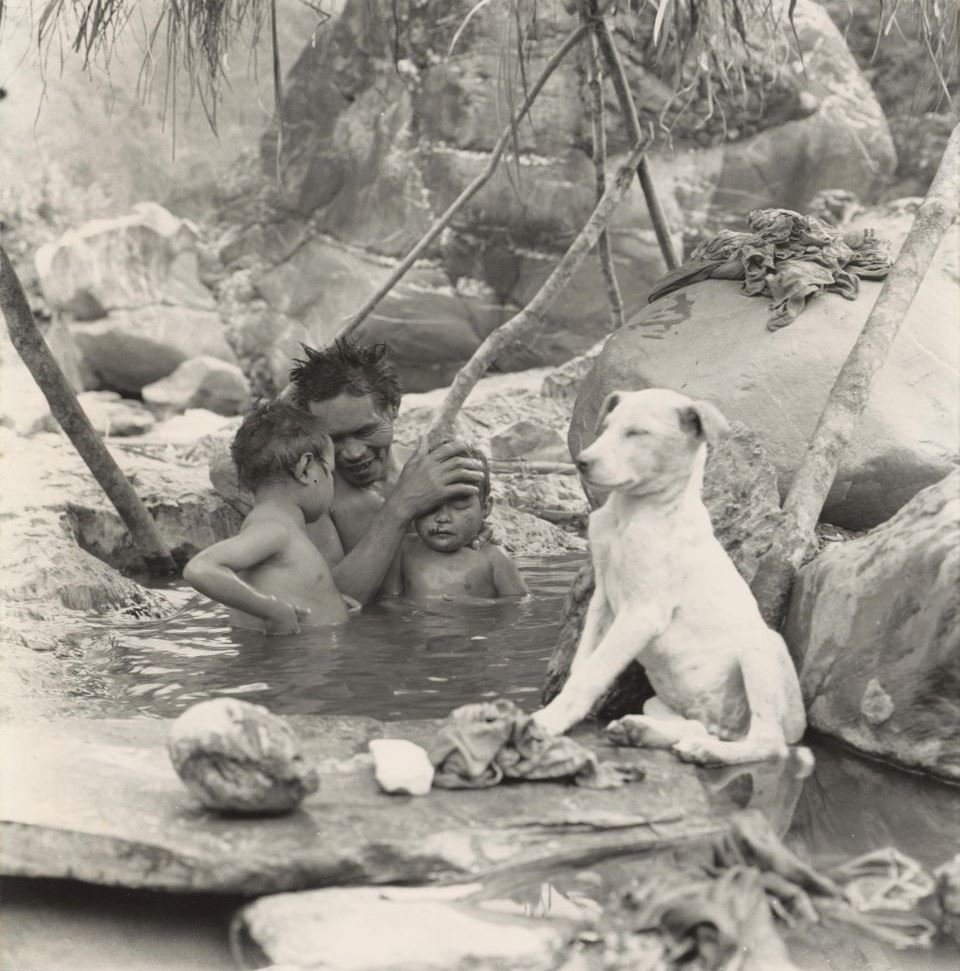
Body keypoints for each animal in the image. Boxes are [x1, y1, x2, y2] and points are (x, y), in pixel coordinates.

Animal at [536, 390, 808, 768]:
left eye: (637, 432)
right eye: (606, 427)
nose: (581, 462)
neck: (631, 514)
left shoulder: (642, 612)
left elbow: (593, 672)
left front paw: (549, 720)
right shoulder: (602, 601)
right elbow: (582, 664)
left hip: (760, 650)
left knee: (768, 743)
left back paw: (708, 752)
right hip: (661, 702)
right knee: (700, 726)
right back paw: (642, 731)